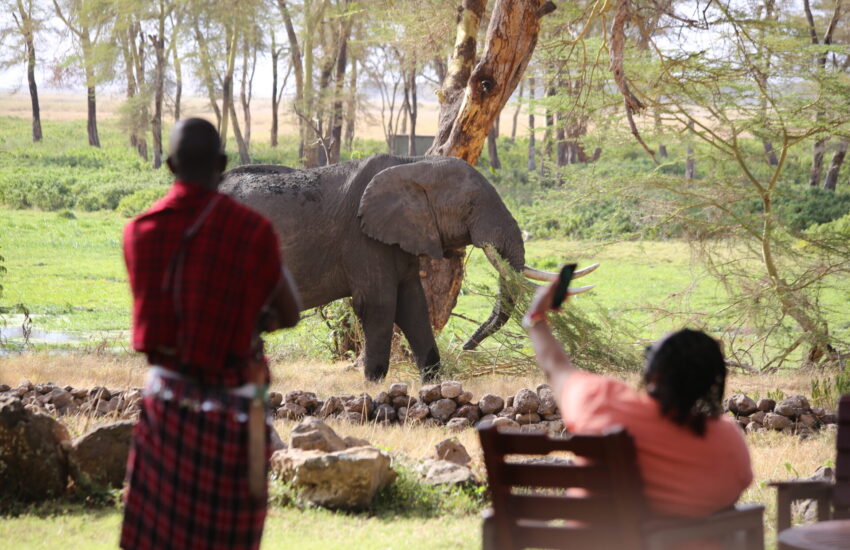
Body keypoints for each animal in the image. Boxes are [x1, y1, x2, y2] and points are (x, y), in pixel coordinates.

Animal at [220, 154, 596, 381]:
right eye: (470, 205)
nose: (467, 347)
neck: (414, 164)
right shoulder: (363, 238)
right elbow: (380, 304)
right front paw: (373, 384)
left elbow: (414, 304)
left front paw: (433, 381)